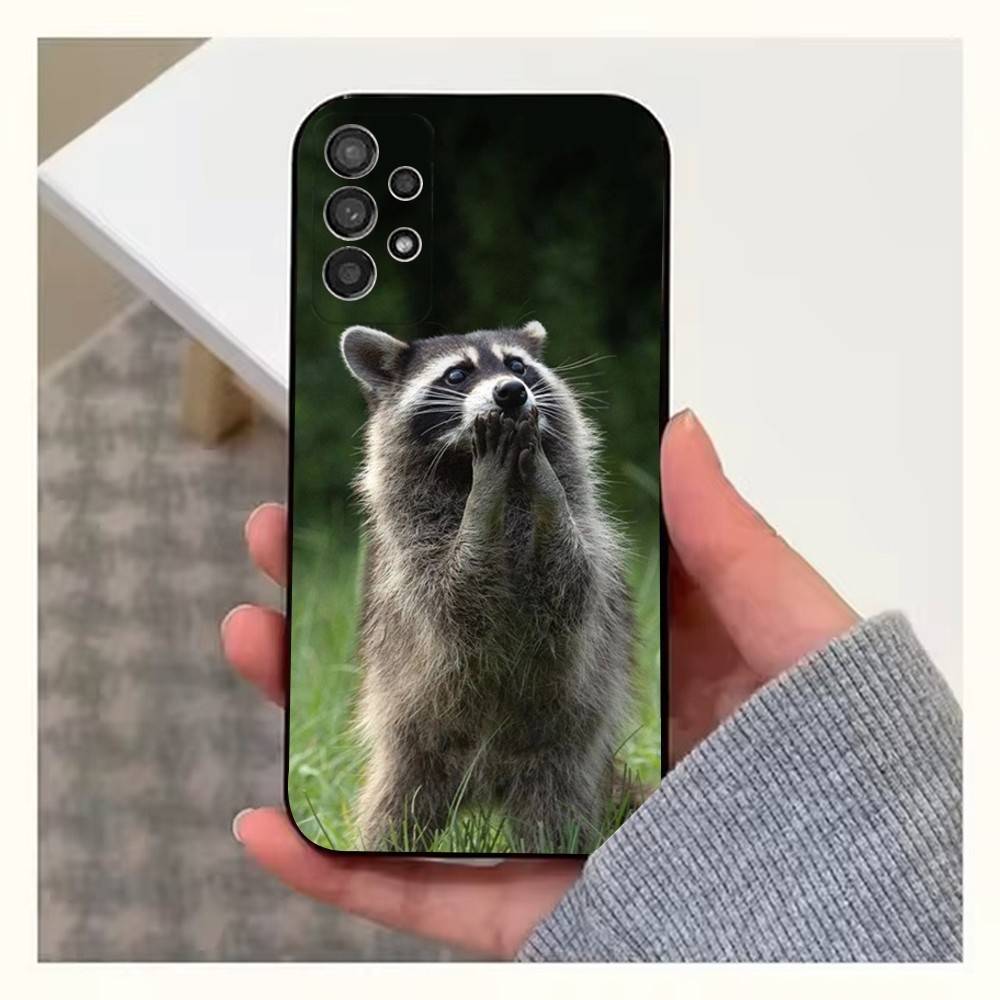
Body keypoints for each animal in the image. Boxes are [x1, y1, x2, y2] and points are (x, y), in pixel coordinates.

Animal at [340, 321, 634, 851]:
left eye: (517, 365)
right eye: (457, 374)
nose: (512, 392)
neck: (467, 464)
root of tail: (484, 789)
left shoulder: (590, 546)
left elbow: (572, 581)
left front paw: (545, 487)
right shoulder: (414, 555)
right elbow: (455, 597)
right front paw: (483, 501)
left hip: (556, 756)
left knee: (554, 820)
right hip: (414, 746)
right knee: (392, 816)